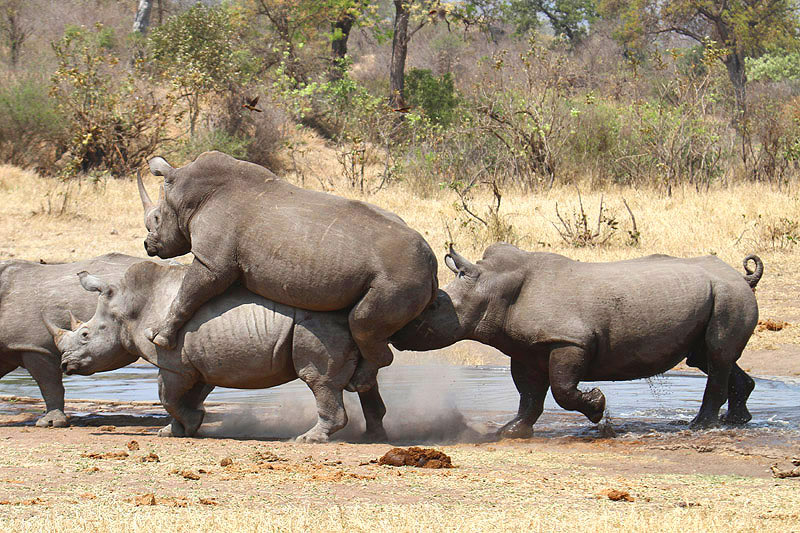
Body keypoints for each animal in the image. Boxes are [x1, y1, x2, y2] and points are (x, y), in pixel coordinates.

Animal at [46, 261, 388, 442]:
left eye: (85, 335)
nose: (65, 365)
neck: (128, 308)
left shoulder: (173, 363)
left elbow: (167, 396)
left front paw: (188, 424)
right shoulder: (198, 363)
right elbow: (188, 396)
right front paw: (175, 431)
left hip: (318, 322)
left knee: (318, 379)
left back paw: (308, 439)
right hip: (346, 325)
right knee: (363, 381)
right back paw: (374, 437)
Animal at [136, 151, 438, 391]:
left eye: (156, 219)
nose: (148, 245)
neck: (186, 195)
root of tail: (433, 264)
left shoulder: (212, 263)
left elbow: (186, 294)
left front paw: (158, 338)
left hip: (399, 277)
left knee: (361, 323)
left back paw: (356, 384)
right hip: (406, 274)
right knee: (364, 325)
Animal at [390, 243, 763, 437]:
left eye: (434, 305)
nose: (397, 333)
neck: (494, 287)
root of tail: (740, 276)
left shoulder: (570, 340)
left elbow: (561, 388)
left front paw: (597, 407)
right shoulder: (526, 348)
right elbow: (529, 395)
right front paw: (510, 431)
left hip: (728, 295)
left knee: (716, 357)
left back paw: (700, 427)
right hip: (718, 293)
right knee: (709, 358)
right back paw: (736, 421)